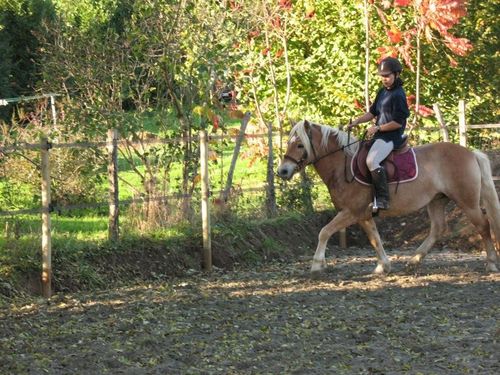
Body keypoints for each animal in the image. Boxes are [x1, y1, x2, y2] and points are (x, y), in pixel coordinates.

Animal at [278, 120, 500, 276]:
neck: (342, 166)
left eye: (300, 145)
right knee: (438, 228)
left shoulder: (351, 212)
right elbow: (374, 238)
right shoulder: (363, 214)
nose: (283, 171)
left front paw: (316, 266)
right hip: (437, 200)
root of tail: (470, 153)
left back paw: (491, 263)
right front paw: (383, 266)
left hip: (467, 201)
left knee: (483, 225)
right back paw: (413, 261)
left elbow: (324, 232)